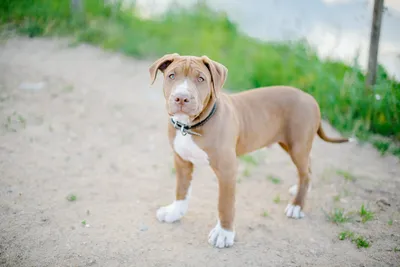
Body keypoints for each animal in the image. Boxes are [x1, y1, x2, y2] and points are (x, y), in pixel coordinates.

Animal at [148, 53, 350, 250]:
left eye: (201, 79)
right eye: (171, 76)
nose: (181, 98)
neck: (190, 126)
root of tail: (310, 98)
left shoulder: (227, 170)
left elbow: (225, 204)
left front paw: (224, 233)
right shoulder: (182, 161)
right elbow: (181, 190)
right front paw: (174, 212)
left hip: (298, 145)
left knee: (305, 172)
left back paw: (297, 206)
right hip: (291, 145)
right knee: (307, 168)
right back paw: (300, 189)